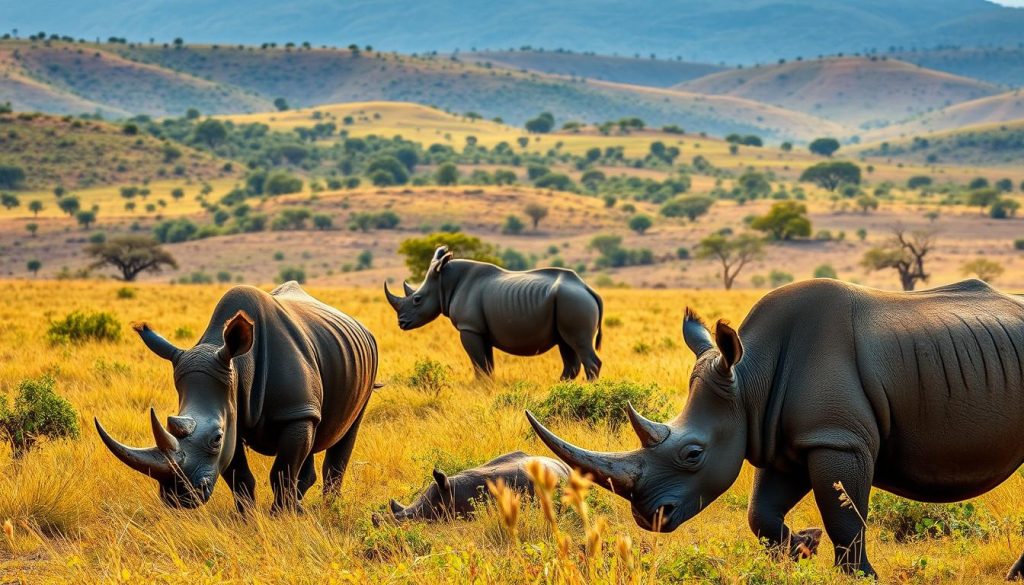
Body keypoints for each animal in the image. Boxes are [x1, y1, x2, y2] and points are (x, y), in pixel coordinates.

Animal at [95, 282, 379, 513]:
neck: (239, 366)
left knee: (344, 435)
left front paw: (280, 517)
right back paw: (300, 507)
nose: (178, 497)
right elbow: (239, 474)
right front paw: (247, 517)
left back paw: (327, 509)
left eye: (216, 438)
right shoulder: (237, 412)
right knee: (312, 437)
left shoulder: (294, 411)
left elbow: (282, 471)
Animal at [385, 246, 603, 380]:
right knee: (567, 346)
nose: (401, 323)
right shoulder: (482, 331)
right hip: (569, 302)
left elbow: (479, 364)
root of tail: (587, 288)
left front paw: (480, 387)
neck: (443, 283)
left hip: (573, 301)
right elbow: (487, 364)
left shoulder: (469, 328)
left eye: (417, 299)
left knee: (580, 345)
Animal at [527, 279, 1024, 579]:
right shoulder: (780, 438)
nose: (649, 517)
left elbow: (846, 519)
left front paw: (859, 577)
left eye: (693, 454)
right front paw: (802, 547)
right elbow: (761, 514)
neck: (749, 378)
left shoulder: (837, 439)